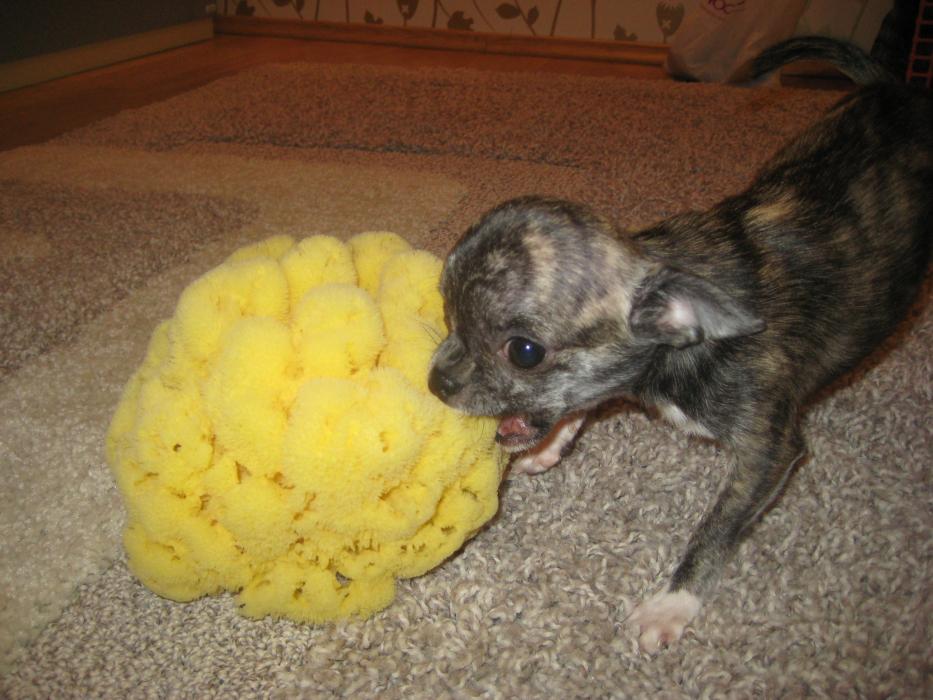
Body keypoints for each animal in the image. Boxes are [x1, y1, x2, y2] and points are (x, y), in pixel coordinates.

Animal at [428, 37, 932, 652]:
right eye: (445, 312)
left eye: (523, 352)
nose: (436, 381)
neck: (680, 347)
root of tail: (895, 88)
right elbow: (582, 402)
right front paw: (549, 447)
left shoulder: (770, 451)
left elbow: (717, 528)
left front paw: (674, 602)